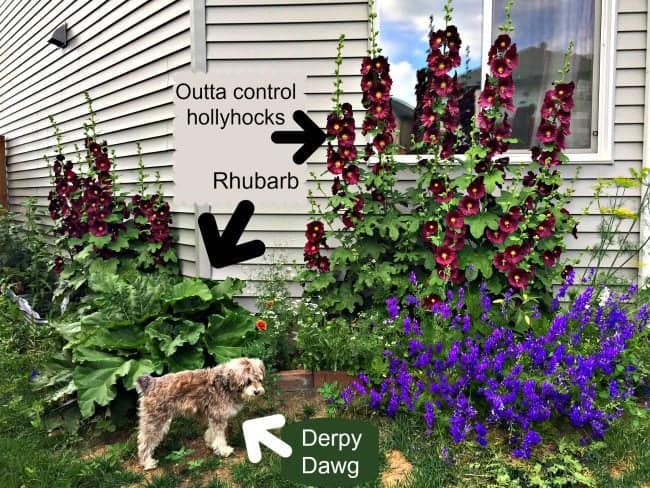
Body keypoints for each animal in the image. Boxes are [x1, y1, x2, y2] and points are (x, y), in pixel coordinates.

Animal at [134, 356, 264, 470]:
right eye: (248, 381)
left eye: (259, 379)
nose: (257, 392)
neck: (226, 383)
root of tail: (150, 383)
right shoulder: (218, 417)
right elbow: (220, 436)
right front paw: (223, 450)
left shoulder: (214, 416)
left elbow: (212, 432)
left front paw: (211, 443)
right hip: (155, 422)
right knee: (144, 442)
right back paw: (147, 462)